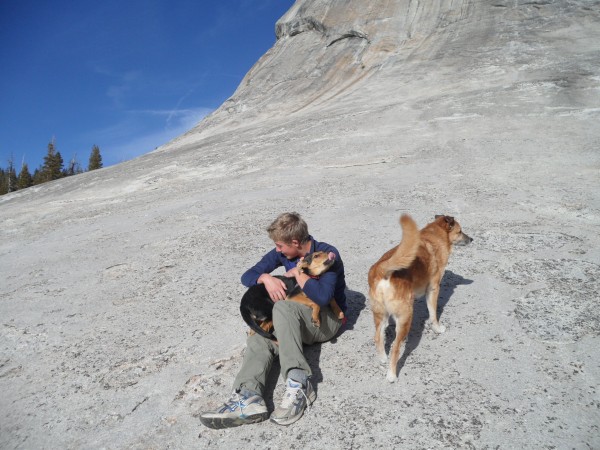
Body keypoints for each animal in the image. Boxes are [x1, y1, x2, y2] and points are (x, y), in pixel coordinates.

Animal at [366, 214, 474, 380]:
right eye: (460, 231)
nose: (471, 239)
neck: (435, 235)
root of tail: (382, 270)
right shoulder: (433, 289)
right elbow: (433, 314)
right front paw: (437, 328)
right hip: (405, 317)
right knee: (396, 348)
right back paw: (391, 375)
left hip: (381, 314)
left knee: (378, 337)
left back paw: (383, 358)